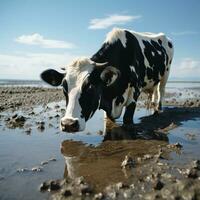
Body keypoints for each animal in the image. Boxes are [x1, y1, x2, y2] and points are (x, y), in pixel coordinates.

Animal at [41, 27, 173, 131]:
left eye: (90, 87)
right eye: (64, 87)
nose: (68, 124)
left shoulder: (135, 92)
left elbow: (127, 119)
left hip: (166, 73)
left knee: (161, 90)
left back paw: (158, 109)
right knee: (154, 91)